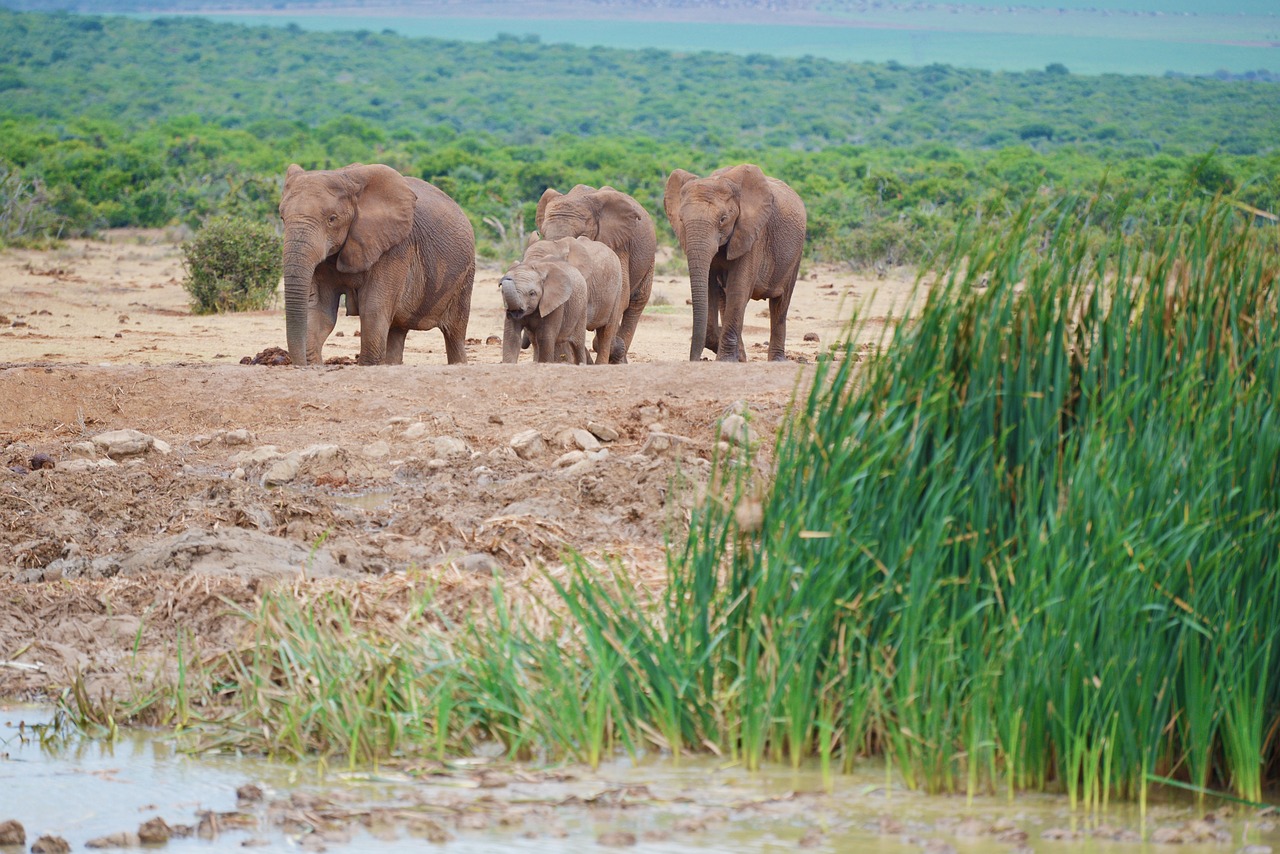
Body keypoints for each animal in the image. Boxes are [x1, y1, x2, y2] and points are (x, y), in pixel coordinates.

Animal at [279, 165, 476, 368]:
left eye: (332, 219)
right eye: (282, 217)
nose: (300, 365)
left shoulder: (395, 247)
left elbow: (373, 310)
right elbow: (321, 312)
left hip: (466, 274)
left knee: (454, 333)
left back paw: (459, 363)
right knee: (397, 329)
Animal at [535, 185, 655, 363]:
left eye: (580, 236)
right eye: (542, 234)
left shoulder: (618, 244)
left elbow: (622, 294)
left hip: (648, 259)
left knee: (637, 302)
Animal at [665, 165, 803, 363]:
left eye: (723, 219)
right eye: (681, 220)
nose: (694, 359)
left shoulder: (752, 233)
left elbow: (738, 288)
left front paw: (725, 360)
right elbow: (711, 288)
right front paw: (732, 357)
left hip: (795, 255)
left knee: (780, 303)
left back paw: (777, 360)